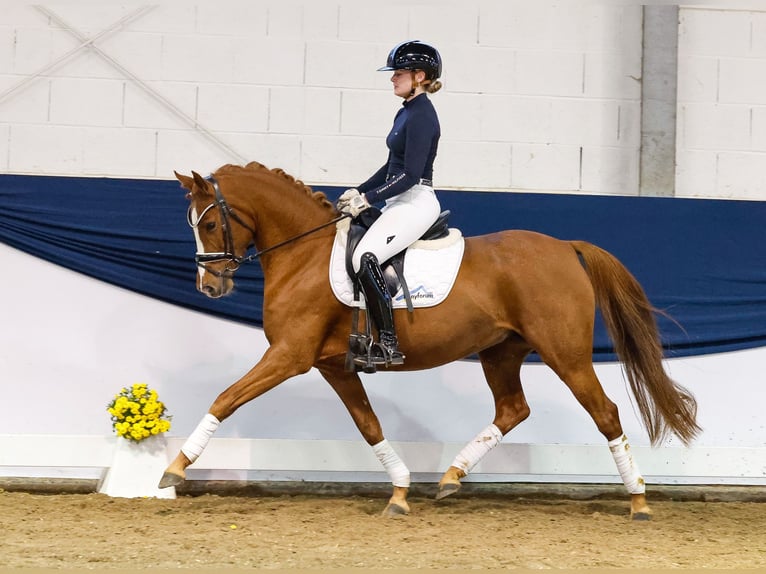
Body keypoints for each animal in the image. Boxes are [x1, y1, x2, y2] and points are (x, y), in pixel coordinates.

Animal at [162, 163, 704, 520]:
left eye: (209, 222)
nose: (210, 288)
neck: (304, 253)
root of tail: (566, 248)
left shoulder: (289, 356)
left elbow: (226, 397)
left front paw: (173, 469)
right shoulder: (333, 365)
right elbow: (369, 425)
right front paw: (400, 492)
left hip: (565, 354)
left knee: (605, 412)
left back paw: (638, 501)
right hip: (501, 352)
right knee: (513, 409)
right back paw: (450, 478)